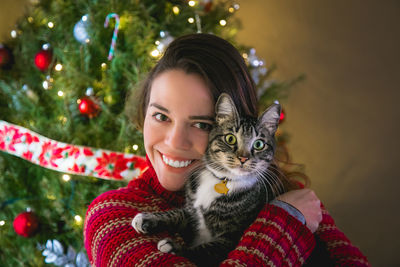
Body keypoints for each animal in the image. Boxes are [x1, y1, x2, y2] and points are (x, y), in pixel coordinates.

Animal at [133, 93, 282, 266]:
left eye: (258, 144)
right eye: (230, 138)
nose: (243, 158)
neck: (222, 180)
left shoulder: (230, 238)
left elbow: (205, 250)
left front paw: (173, 248)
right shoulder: (192, 211)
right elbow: (177, 214)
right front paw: (147, 218)